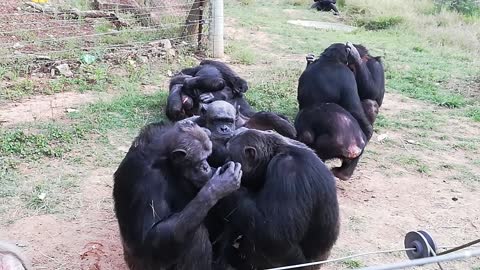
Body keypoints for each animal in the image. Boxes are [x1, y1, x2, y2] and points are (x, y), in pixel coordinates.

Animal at [113, 121, 244, 270]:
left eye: (207, 157)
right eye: (200, 160)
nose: (205, 166)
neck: (165, 160)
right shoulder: (149, 180)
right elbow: (150, 235)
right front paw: (219, 186)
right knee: (196, 236)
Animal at [212, 130, 340, 268]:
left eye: (230, 155)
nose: (224, 161)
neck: (273, 155)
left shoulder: (288, 172)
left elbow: (275, 231)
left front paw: (224, 183)